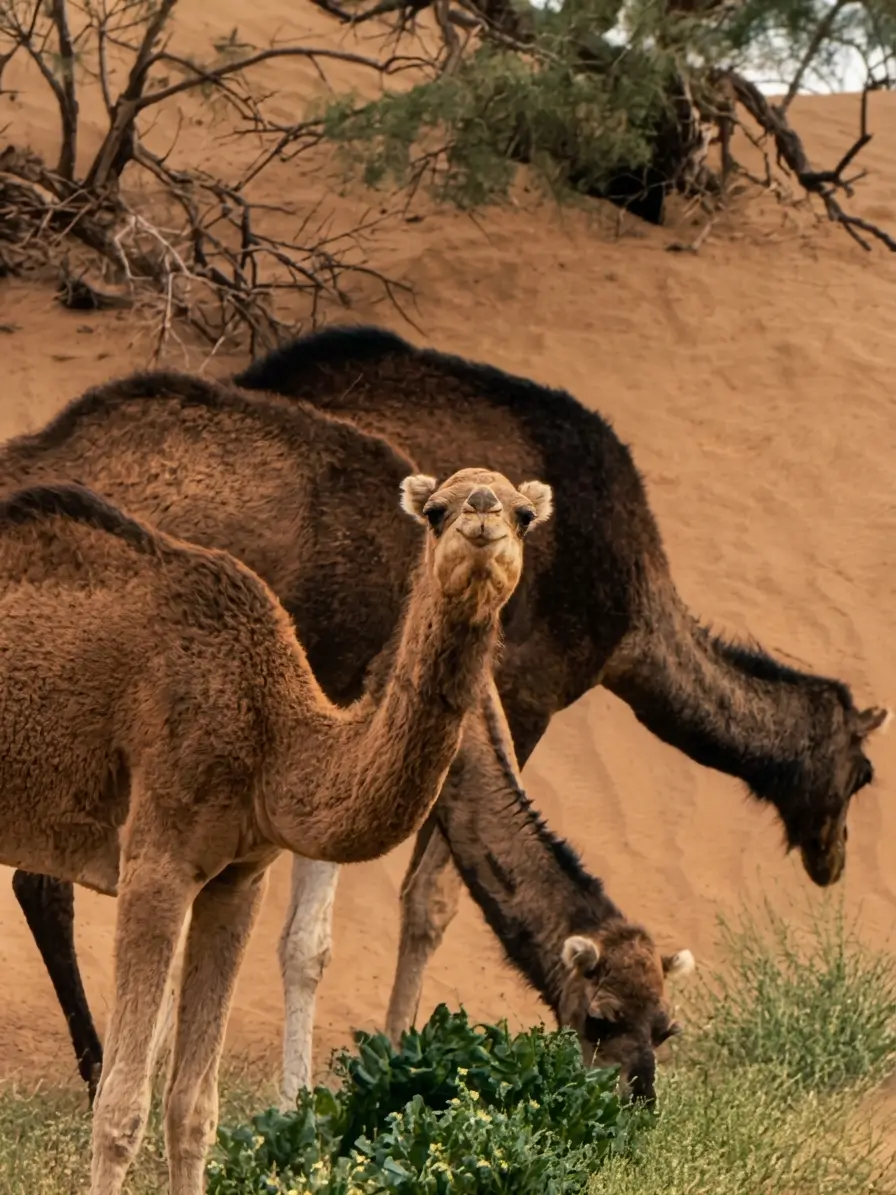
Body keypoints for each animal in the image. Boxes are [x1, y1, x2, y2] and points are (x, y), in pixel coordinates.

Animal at [0, 465, 549, 1195]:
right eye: (435, 510)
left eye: (524, 514)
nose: (483, 514)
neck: (274, 735)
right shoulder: (157, 860)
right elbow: (120, 1107)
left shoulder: (237, 877)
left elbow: (192, 1107)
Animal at [6, 339, 886, 1103]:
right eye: (599, 1020)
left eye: (666, 1027)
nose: (834, 857)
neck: (635, 612)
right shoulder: (482, 704)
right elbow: (372, 921)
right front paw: (319, 1085)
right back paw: (98, 1067)